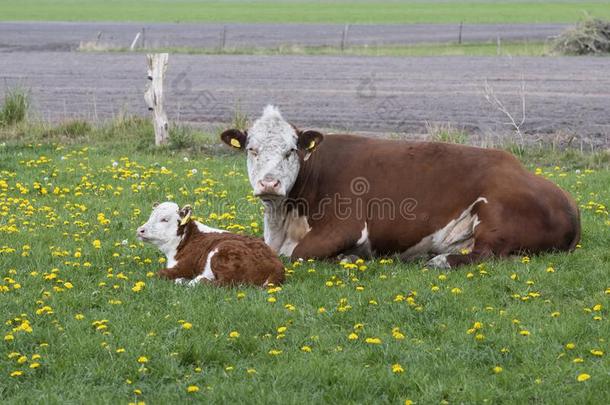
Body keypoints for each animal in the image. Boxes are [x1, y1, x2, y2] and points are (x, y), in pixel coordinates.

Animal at [137, 201, 284, 284]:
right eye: (151, 216)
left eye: (165, 219)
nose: (140, 230)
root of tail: (277, 264)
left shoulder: (185, 266)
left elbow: (159, 273)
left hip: (223, 253)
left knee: (225, 283)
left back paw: (194, 281)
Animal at [220, 105, 580, 266]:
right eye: (251, 149)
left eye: (290, 150)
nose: (269, 183)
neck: (285, 220)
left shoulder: (346, 226)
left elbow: (297, 254)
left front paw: (348, 258)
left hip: (496, 215)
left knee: (486, 254)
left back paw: (438, 261)